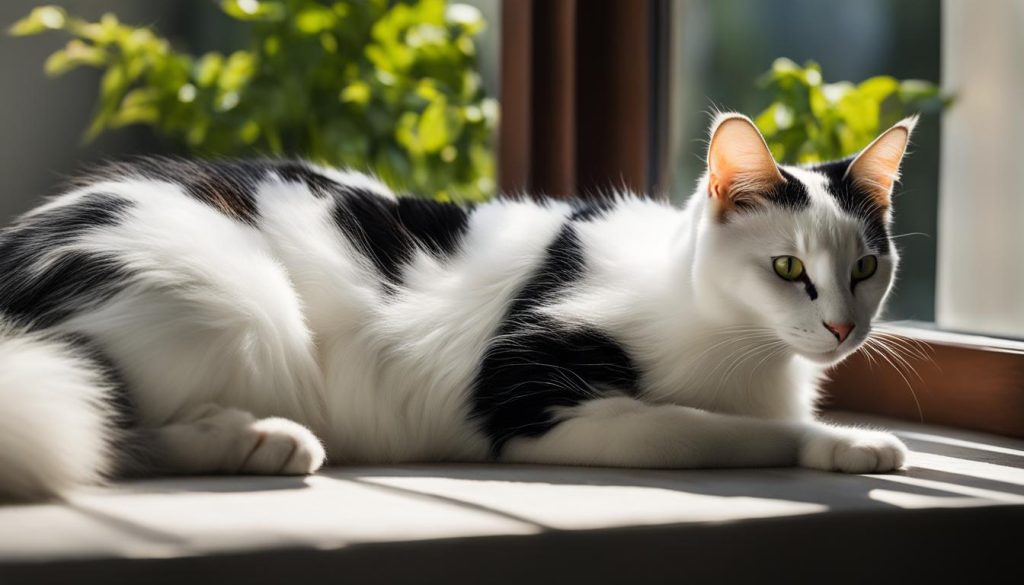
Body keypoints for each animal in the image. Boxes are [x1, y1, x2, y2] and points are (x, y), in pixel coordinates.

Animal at [0, 114, 913, 504]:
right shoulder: (532, 395)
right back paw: (263, 439)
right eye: (789, 268)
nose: (843, 327)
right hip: (235, 304)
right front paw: (851, 442)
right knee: (105, 429)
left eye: (866, 267)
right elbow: (728, 430)